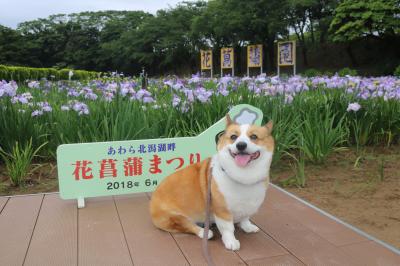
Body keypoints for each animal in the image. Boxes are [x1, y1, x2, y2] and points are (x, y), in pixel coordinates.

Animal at [150, 114, 276, 249]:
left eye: (254, 137)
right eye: (233, 137)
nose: (241, 145)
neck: (243, 176)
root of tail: (152, 200)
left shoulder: (248, 206)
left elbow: (245, 218)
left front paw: (248, 227)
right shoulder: (222, 210)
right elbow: (228, 228)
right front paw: (231, 242)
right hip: (174, 217)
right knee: (187, 225)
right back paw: (204, 232)